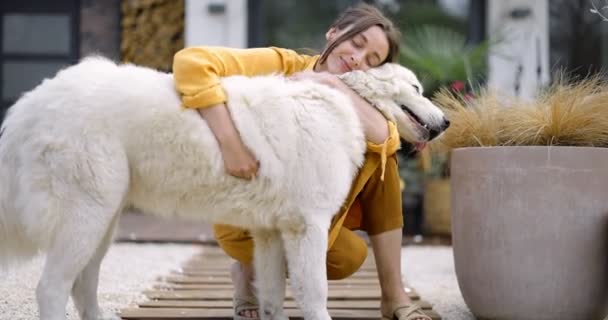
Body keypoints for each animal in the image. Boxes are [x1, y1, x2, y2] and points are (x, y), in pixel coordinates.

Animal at [0, 57, 446, 320]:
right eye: (418, 89)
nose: (445, 123)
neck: (345, 104)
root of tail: (29, 104)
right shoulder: (308, 226)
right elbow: (316, 292)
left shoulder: (271, 232)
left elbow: (272, 295)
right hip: (86, 214)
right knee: (51, 288)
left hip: (102, 219)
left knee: (83, 285)